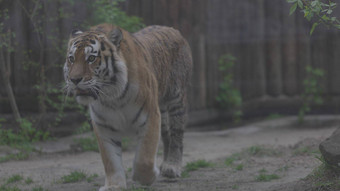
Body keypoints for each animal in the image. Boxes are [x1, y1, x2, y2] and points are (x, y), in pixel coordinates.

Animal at [62, 23, 193, 190]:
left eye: (91, 58)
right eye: (71, 59)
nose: (74, 79)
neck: (112, 97)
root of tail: (171, 29)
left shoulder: (150, 116)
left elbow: (145, 156)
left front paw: (146, 177)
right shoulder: (103, 126)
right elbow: (111, 160)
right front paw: (114, 186)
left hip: (176, 99)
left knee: (177, 135)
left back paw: (172, 167)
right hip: (162, 110)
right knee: (167, 136)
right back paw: (165, 164)